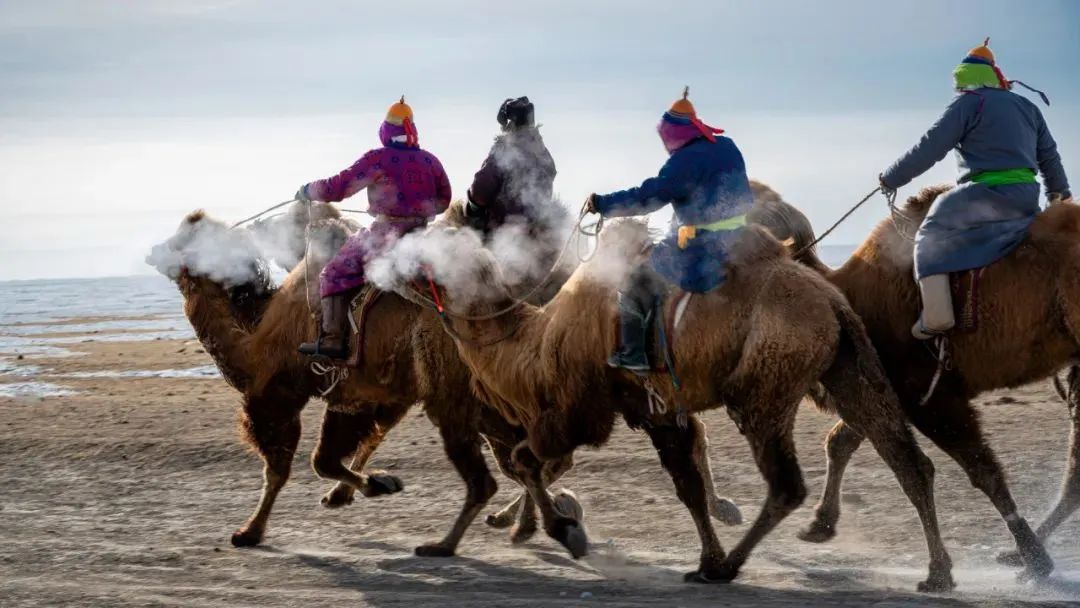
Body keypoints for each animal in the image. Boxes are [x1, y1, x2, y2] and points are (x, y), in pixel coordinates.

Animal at [403, 214, 954, 591]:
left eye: (429, 251)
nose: (399, 269)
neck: (533, 345)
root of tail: (832, 303)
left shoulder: (579, 409)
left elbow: (525, 459)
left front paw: (566, 530)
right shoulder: (658, 410)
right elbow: (686, 484)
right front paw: (704, 556)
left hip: (765, 385)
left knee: (787, 483)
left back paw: (731, 567)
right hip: (849, 366)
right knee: (907, 460)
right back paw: (937, 572)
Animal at [751, 182, 1071, 578]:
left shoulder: (928, 393)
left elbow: (981, 470)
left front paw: (1034, 556)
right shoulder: (885, 389)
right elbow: (840, 441)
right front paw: (820, 524)